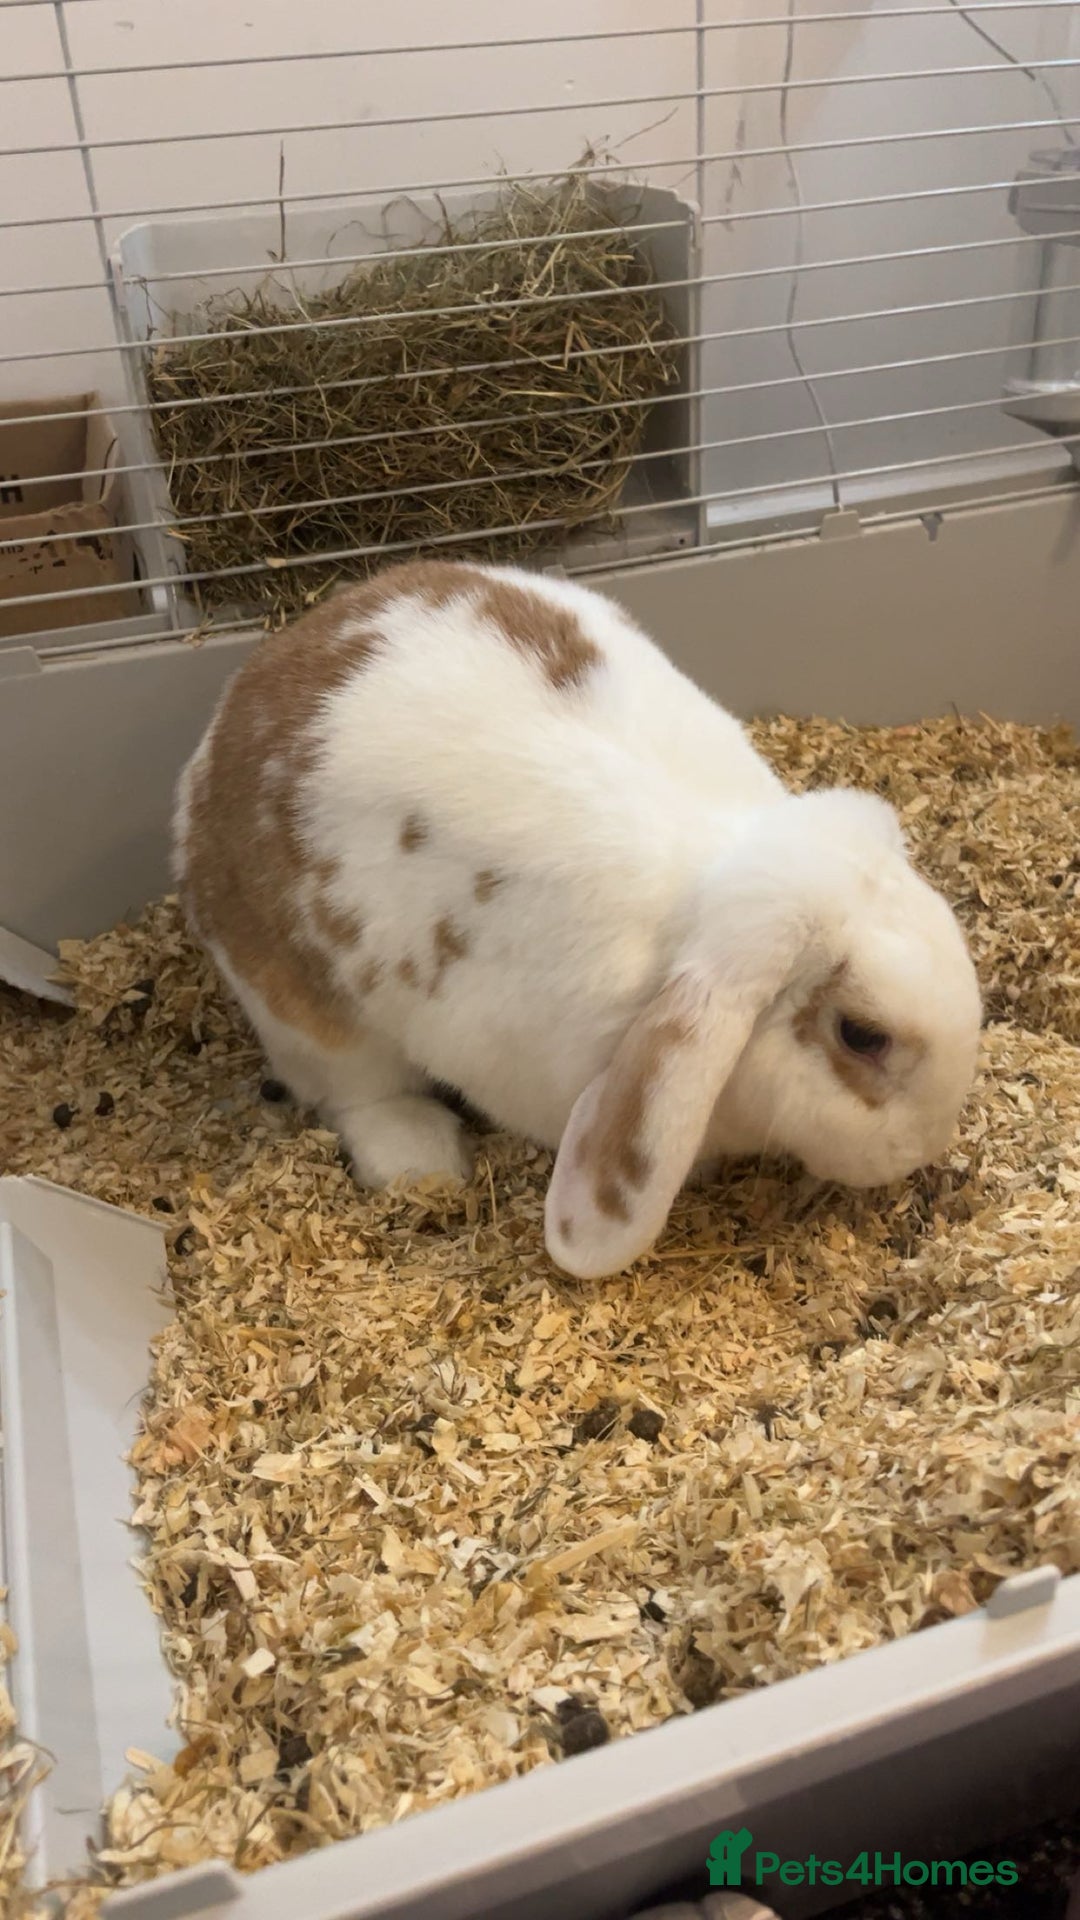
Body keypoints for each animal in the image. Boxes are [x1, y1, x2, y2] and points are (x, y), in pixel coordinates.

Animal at [173, 557, 982, 1282]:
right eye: (862, 1035)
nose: (927, 1144)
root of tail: (212, 748)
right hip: (304, 1015)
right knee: (352, 1090)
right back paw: (424, 1158)